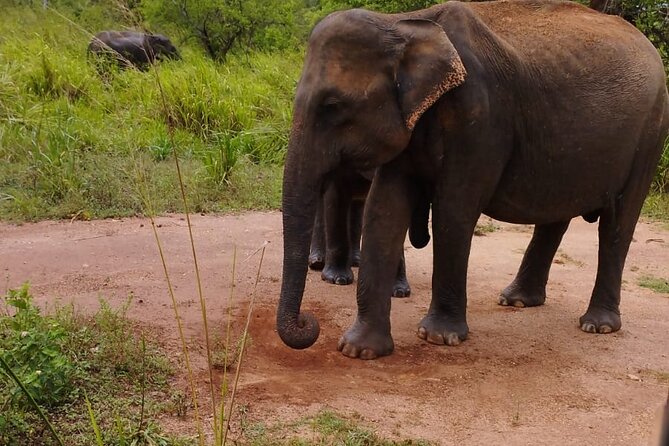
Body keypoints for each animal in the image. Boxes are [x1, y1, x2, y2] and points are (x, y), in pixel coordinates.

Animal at [276, 0, 669, 359]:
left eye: (333, 106)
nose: (309, 323)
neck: (405, 23)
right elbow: (384, 210)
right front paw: (359, 350)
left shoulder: (480, 117)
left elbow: (454, 210)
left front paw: (439, 337)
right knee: (556, 213)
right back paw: (517, 301)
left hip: (651, 132)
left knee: (618, 222)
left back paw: (596, 325)